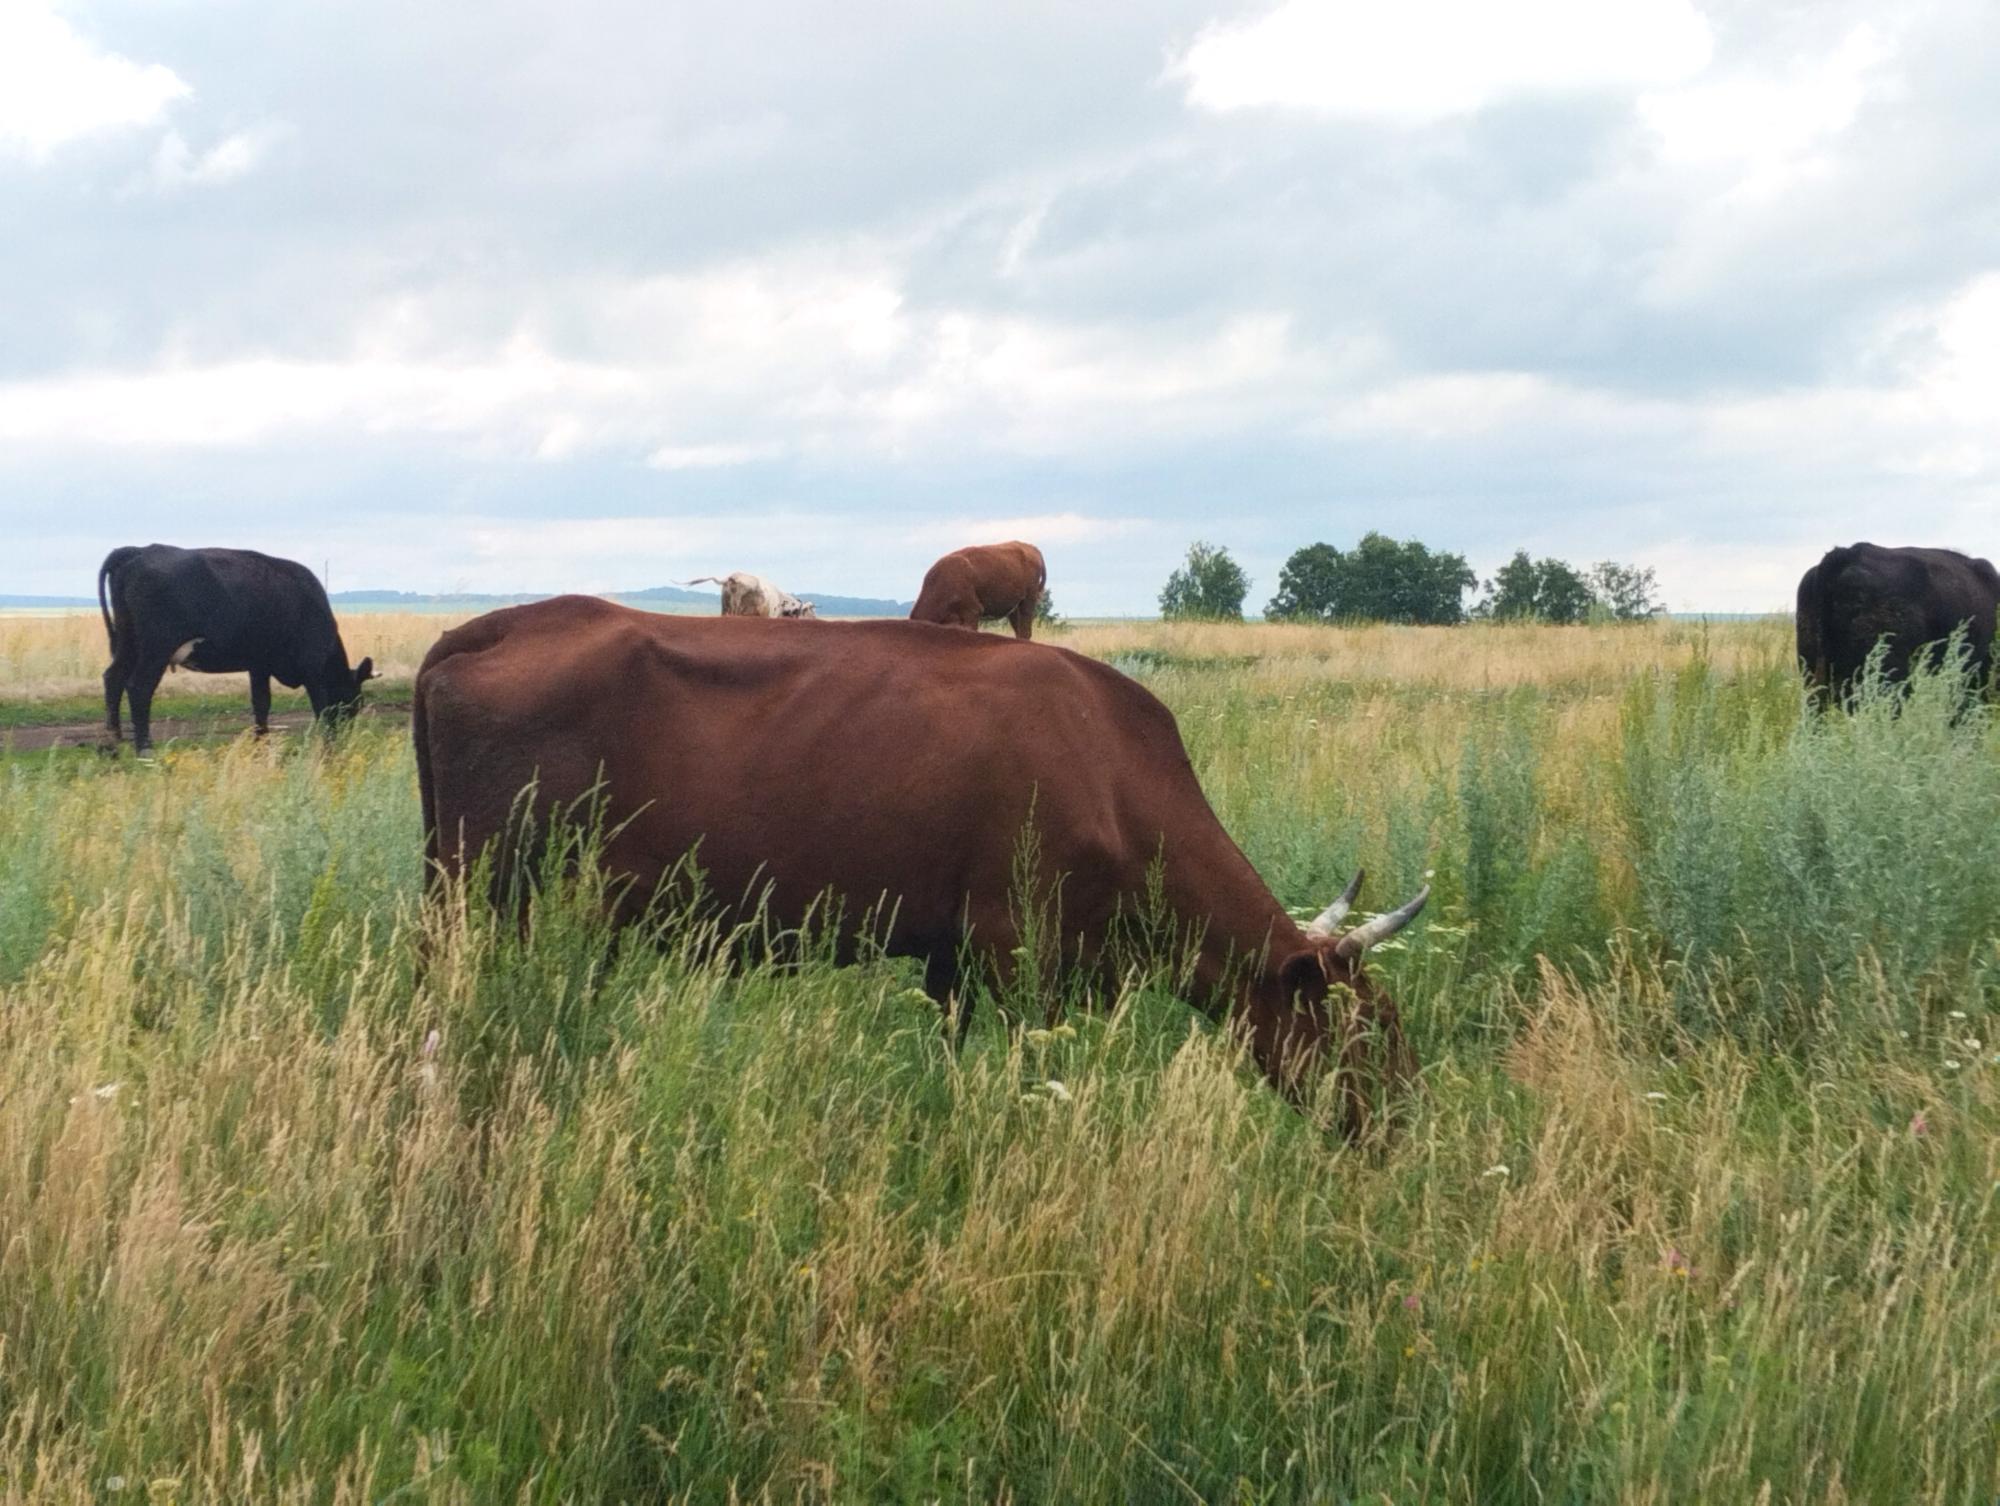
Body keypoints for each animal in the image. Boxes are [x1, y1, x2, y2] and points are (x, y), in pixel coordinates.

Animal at [96, 540, 376, 752]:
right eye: (355, 702)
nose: (347, 735)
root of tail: (140, 550)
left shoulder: (259, 664)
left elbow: (261, 703)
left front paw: (261, 742)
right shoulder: (313, 668)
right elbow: (321, 706)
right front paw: (328, 741)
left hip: (128, 642)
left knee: (114, 678)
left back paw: (114, 741)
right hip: (157, 646)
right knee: (139, 687)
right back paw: (144, 747)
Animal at [414, 592, 1432, 1136]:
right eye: (1368, 1031)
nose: (1405, 1128)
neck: (1113, 769)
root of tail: (498, 625)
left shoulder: (953, 957)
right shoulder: (1021, 953)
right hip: (477, 890)